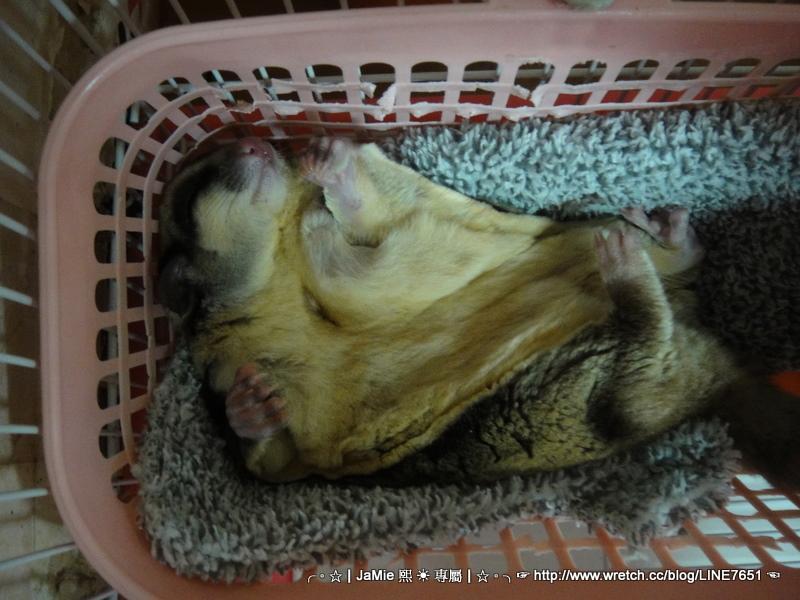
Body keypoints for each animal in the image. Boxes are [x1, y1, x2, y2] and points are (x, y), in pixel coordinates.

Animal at [158, 136, 799, 488]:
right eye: (191, 196)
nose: (257, 143)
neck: (280, 267)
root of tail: (719, 375)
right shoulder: (257, 386)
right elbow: (273, 458)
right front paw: (249, 404)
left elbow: (365, 266)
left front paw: (327, 185)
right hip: (606, 391)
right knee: (648, 347)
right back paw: (643, 259)